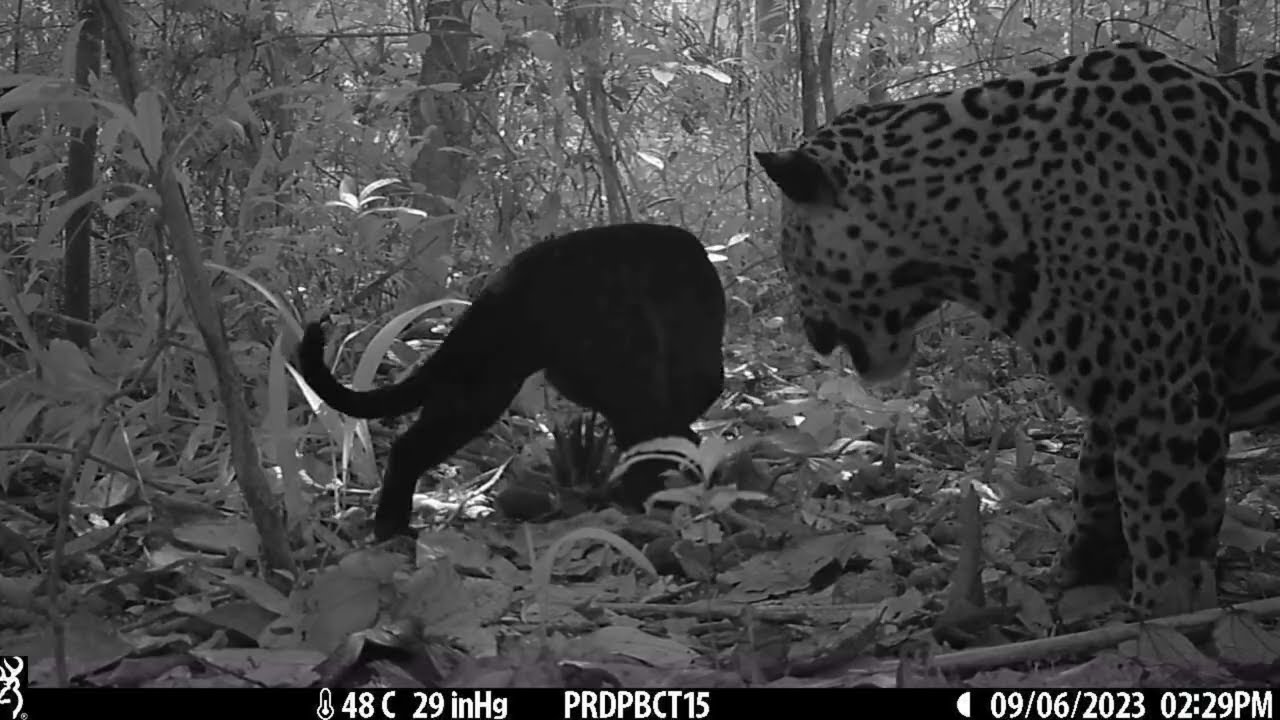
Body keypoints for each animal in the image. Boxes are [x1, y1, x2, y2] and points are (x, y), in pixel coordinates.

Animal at [754, 42, 1280, 619]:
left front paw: (1159, 618)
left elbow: (1165, 525)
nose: (813, 338)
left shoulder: (1168, 396)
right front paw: (1076, 571)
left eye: (789, 251)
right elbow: (1097, 483)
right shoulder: (1118, 387)